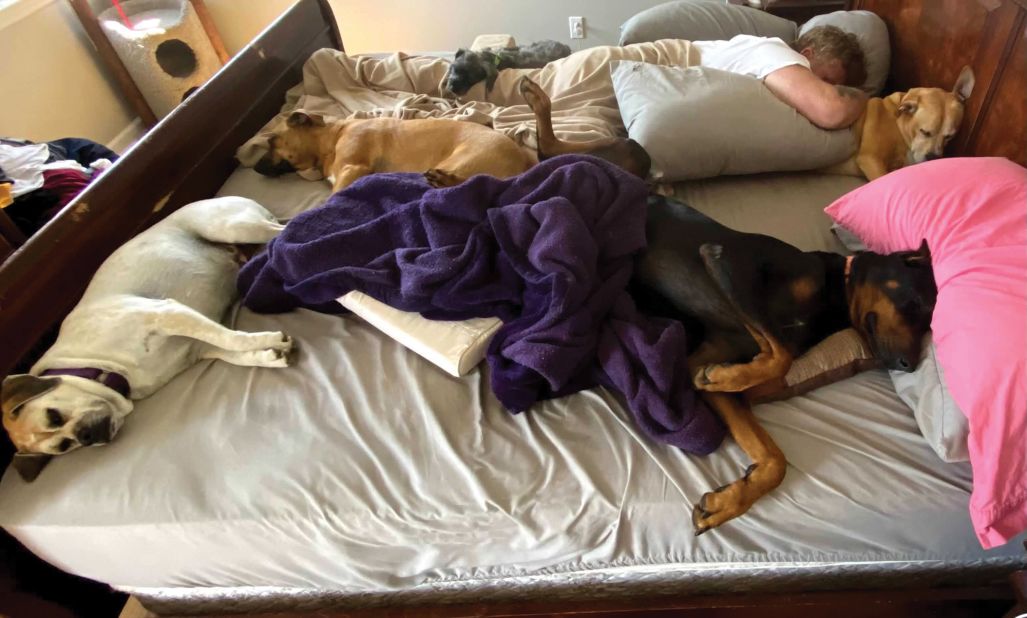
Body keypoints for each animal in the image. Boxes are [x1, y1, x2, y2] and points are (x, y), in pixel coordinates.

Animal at [1, 197, 297, 480]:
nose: (86, 438)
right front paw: (268, 354)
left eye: (53, 416)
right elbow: (235, 352)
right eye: (63, 447)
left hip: (231, 227)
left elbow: (231, 339)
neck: (102, 367)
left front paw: (269, 339)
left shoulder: (167, 313)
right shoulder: (198, 347)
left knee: (284, 229)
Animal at [252, 110, 534, 190]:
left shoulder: (352, 168)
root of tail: (526, 160)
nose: (254, 167)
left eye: (272, 141)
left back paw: (444, 181)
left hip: (460, 161)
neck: (331, 138)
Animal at [628, 195, 936, 529]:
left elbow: (775, 459)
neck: (834, 297)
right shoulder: (726, 261)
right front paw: (727, 375)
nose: (910, 364)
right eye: (916, 304)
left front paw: (727, 501)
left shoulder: (701, 362)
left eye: (930, 323)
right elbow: (781, 356)